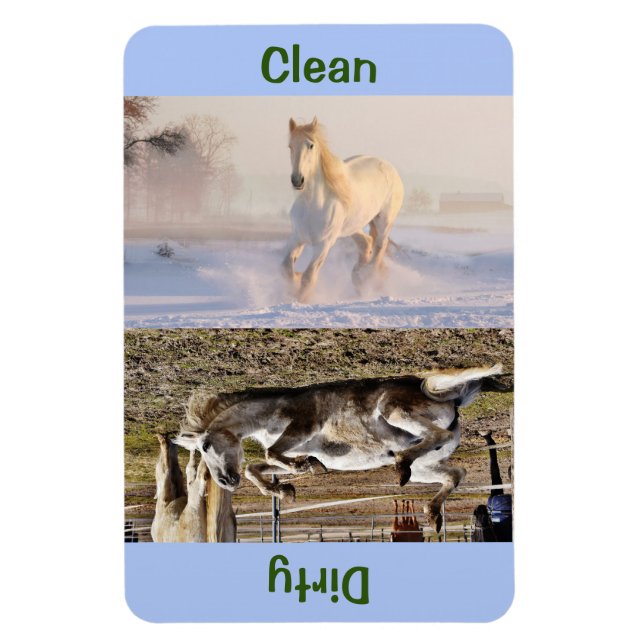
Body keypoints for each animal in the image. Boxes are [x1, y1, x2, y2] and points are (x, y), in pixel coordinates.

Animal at [174, 364, 503, 533]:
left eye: (206, 446)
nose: (225, 481)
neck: (271, 412)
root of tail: (452, 402)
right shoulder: (301, 447)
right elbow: (257, 467)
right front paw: (287, 489)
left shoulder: (302, 428)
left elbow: (268, 456)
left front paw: (299, 474)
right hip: (426, 466)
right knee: (455, 473)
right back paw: (432, 514)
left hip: (396, 411)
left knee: (433, 439)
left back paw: (400, 466)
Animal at [281, 117, 404, 303]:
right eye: (290, 146)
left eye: (311, 145)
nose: (297, 180)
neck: (313, 205)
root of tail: (389, 167)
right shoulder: (297, 237)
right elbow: (286, 268)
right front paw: (295, 281)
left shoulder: (324, 244)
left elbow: (309, 277)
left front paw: (301, 299)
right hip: (352, 227)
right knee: (366, 242)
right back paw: (358, 276)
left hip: (384, 221)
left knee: (380, 245)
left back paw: (367, 277)